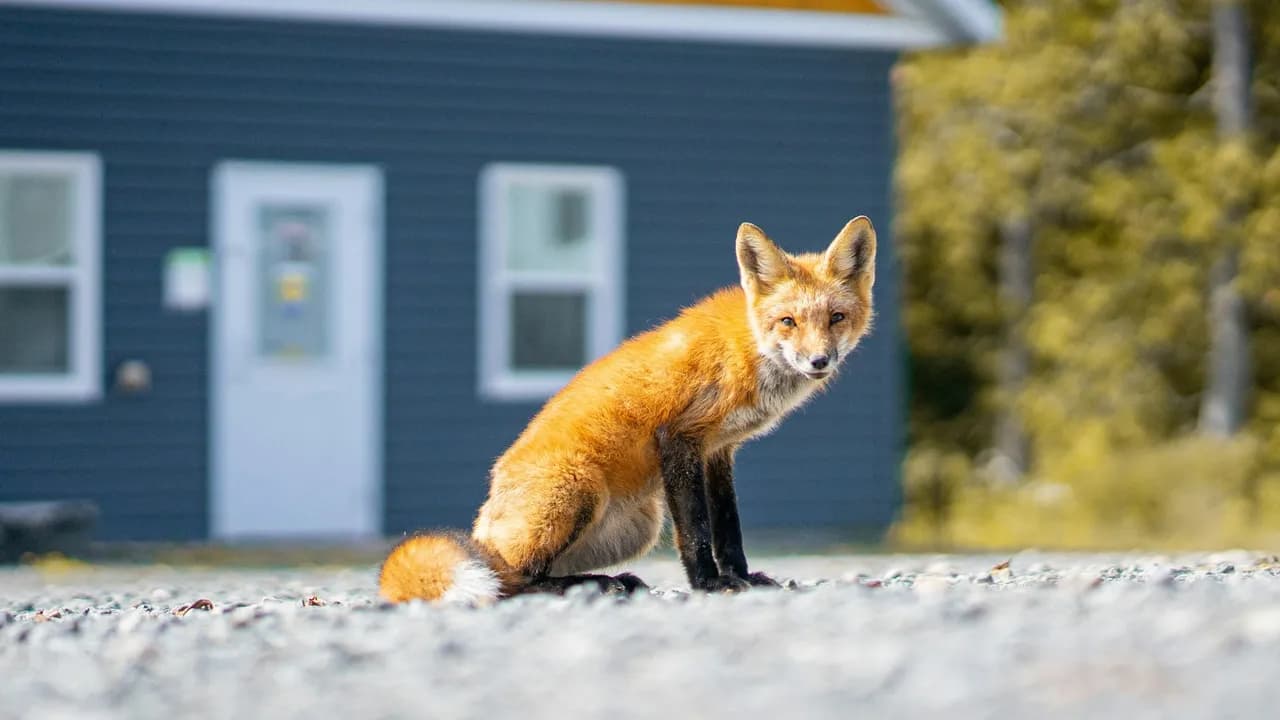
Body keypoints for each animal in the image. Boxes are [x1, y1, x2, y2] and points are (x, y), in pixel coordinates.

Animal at [379, 216, 877, 604]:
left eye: (836, 318)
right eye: (788, 321)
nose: (819, 361)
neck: (747, 349)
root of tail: (483, 528)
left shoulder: (718, 451)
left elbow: (728, 528)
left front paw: (741, 577)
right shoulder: (680, 438)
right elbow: (696, 531)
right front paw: (709, 585)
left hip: (640, 523)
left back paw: (607, 580)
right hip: (579, 491)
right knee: (515, 580)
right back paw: (599, 586)